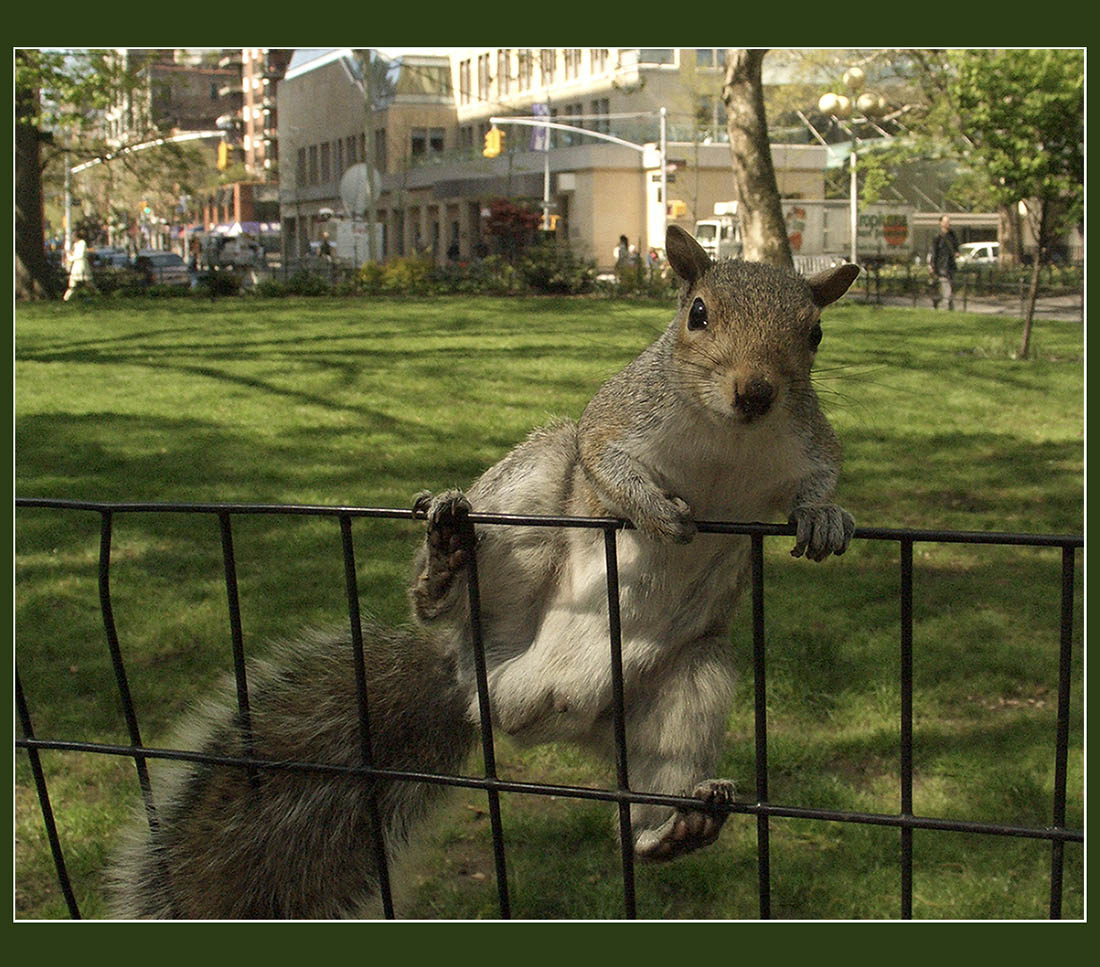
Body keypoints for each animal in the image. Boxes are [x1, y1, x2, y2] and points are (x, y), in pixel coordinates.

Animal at [105, 225, 858, 915]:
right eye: (697, 313)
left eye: (816, 333)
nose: (756, 392)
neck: (727, 438)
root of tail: (480, 686)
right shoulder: (619, 415)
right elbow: (602, 455)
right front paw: (650, 508)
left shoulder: (806, 439)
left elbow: (821, 478)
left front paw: (825, 517)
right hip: (526, 508)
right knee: (459, 580)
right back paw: (441, 569)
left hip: (685, 682)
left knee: (646, 794)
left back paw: (673, 828)